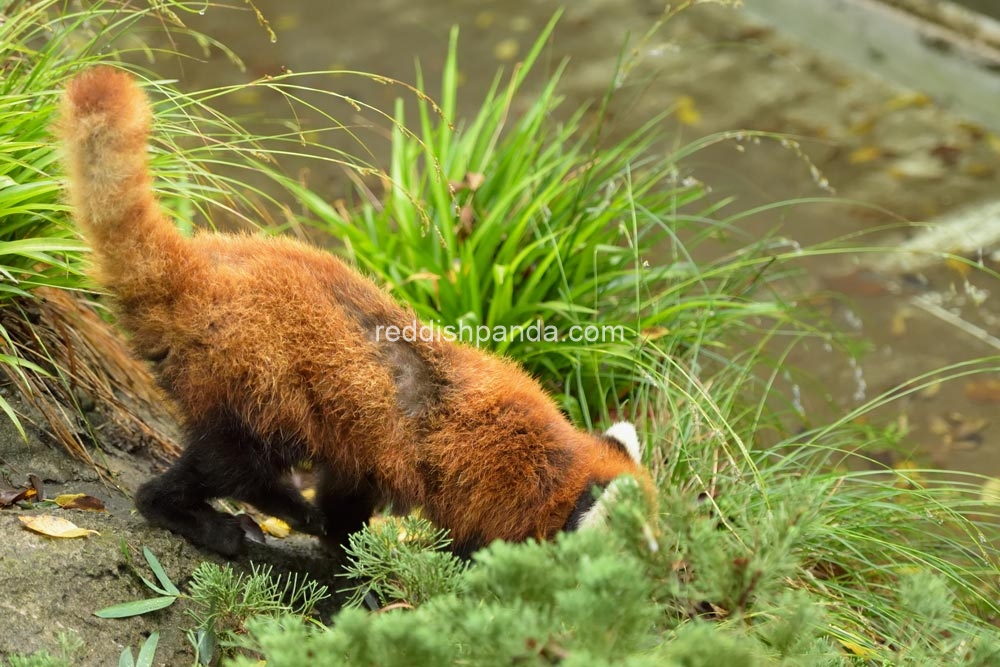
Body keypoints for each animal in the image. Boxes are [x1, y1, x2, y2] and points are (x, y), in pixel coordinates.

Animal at [56, 68, 656, 560]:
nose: (669, 579)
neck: (555, 462)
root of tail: (204, 267)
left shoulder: (364, 453)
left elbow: (349, 493)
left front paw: (346, 551)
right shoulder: (485, 490)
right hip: (253, 382)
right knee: (227, 468)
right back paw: (218, 514)